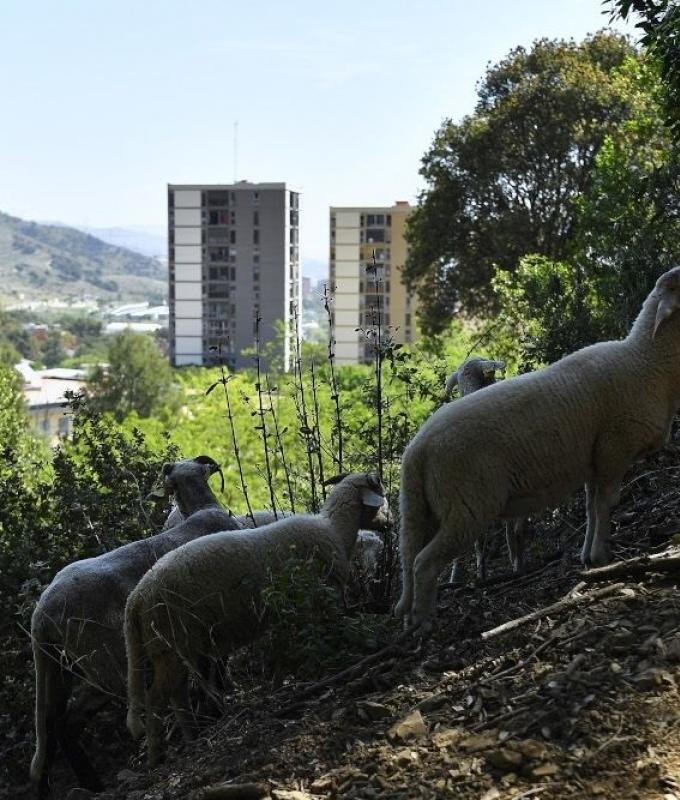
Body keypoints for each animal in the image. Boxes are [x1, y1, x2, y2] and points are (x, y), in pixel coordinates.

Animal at [30, 455, 239, 798]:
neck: (201, 509)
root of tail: (40, 615)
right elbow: (215, 670)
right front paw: (219, 710)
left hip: (59, 667)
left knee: (52, 724)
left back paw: (70, 787)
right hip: (107, 663)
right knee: (72, 721)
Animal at [124, 472, 391, 767]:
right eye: (381, 496)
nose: (390, 524)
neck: (335, 530)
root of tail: (136, 598)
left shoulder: (288, 614)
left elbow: (284, 653)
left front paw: (278, 683)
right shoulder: (317, 601)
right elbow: (322, 638)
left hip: (172, 648)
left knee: (176, 694)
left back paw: (191, 736)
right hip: (170, 644)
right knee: (157, 698)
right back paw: (157, 754)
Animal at [395, 267, 680, 632]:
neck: (647, 362)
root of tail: (416, 452)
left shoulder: (595, 459)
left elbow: (591, 508)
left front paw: (588, 557)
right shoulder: (613, 449)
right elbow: (606, 504)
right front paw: (601, 557)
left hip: (421, 507)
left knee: (408, 556)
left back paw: (410, 618)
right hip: (468, 503)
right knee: (424, 562)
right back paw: (424, 622)